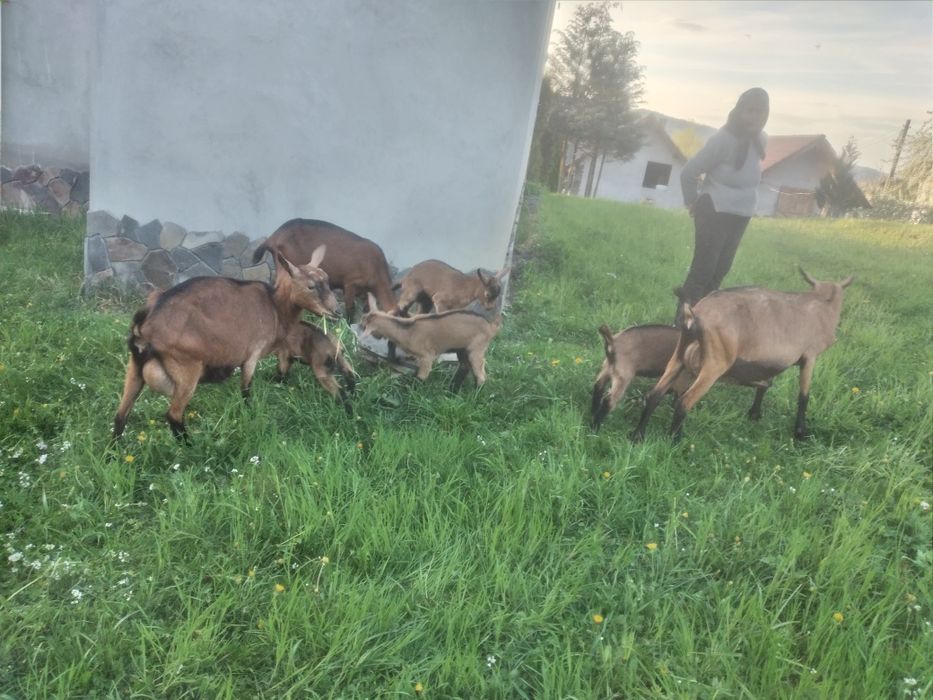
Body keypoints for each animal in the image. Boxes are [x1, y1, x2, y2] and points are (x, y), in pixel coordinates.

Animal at [113, 246, 336, 439]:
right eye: (311, 286)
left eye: (327, 281)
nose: (336, 311)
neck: (275, 306)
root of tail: (145, 327)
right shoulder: (252, 355)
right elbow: (246, 390)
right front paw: (251, 413)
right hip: (187, 371)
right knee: (173, 415)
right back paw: (191, 446)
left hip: (134, 369)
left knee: (120, 415)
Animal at [358, 293, 501, 390]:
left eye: (363, 326)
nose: (359, 327)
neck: (407, 329)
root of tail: (491, 327)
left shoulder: (426, 356)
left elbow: (421, 377)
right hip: (462, 347)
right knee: (465, 366)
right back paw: (452, 390)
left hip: (476, 349)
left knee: (480, 374)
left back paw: (475, 392)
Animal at [591, 324, 770, 432]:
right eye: (752, 366)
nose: (769, 382)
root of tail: (613, 342)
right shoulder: (683, 378)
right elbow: (678, 399)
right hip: (623, 374)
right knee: (609, 401)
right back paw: (595, 426)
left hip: (607, 368)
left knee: (598, 386)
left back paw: (591, 414)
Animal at [630, 268, 853, 442]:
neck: (822, 305)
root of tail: (694, 315)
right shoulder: (810, 356)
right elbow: (803, 395)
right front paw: (800, 433)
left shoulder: (768, 361)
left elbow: (765, 384)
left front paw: (754, 414)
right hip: (715, 364)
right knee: (684, 402)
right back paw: (675, 441)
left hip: (678, 357)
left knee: (654, 395)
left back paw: (637, 436)